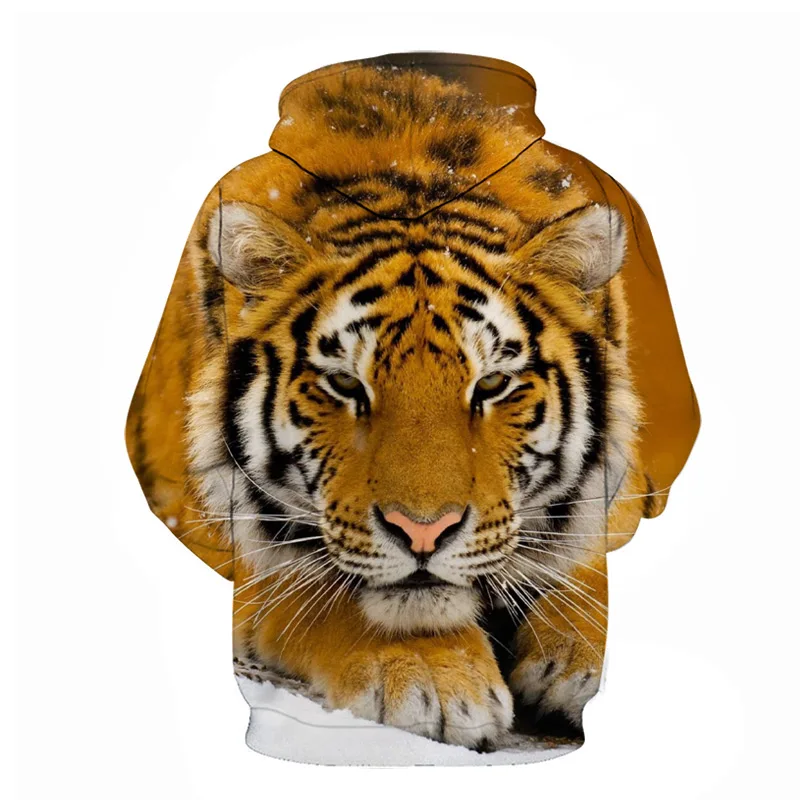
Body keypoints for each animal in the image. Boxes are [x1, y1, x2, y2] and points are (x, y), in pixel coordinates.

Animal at [127, 59, 681, 752]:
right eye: (346, 385)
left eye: (492, 385)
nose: (423, 533)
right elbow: (316, 584)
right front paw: (433, 674)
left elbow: (594, 546)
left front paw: (577, 656)